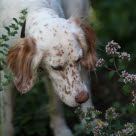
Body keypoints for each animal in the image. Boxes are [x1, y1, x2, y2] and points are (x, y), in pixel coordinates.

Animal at [0, 0, 96, 136]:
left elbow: (56, 106)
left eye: (78, 60)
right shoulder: (7, 80)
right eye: (56, 67)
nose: (82, 98)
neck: (34, 8)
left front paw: (61, 130)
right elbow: (7, 123)